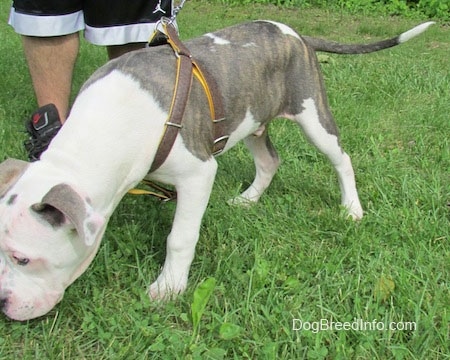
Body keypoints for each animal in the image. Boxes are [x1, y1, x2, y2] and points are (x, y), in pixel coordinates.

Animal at [0, 19, 436, 320]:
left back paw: (351, 209)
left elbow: (180, 237)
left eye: (22, 259)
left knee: (341, 158)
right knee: (269, 160)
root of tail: (295, 33)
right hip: (252, 120)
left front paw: (169, 288)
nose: (2, 303)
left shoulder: (197, 174)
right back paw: (248, 199)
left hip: (313, 115)